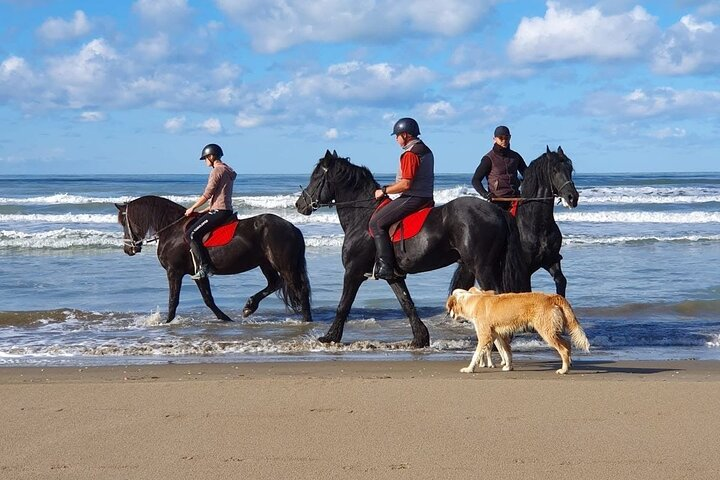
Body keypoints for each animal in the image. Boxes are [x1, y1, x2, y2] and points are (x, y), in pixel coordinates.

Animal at [115, 194, 312, 322]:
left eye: (124, 222)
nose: (128, 249)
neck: (172, 231)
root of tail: (292, 228)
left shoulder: (174, 272)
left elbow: (173, 300)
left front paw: (167, 322)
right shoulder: (197, 274)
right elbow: (208, 299)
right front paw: (225, 319)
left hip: (285, 265)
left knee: (299, 290)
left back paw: (306, 320)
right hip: (266, 264)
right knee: (275, 283)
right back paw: (249, 307)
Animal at [296, 150, 528, 344]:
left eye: (315, 177)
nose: (300, 205)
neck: (362, 216)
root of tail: (497, 211)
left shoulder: (353, 272)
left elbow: (343, 306)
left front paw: (329, 337)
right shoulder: (394, 276)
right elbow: (407, 303)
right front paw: (420, 338)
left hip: (482, 267)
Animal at [444, 288, 592, 376]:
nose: (448, 315)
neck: (472, 301)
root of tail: (553, 296)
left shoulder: (485, 336)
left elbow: (475, 355)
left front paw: (469, 369)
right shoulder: (501, 335)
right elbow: (507, 352)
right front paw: (509, 367)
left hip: (546, 331)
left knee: (563, 349)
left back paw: (564, 370)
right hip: (551, 330)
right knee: (567, 343)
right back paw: (569, 364)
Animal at [450, 146, 580, 296]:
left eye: (570, 169)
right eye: (554, 170)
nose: (572, 197)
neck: (537, 225)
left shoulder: (551, 260)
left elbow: (561, 281)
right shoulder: (524, 270)